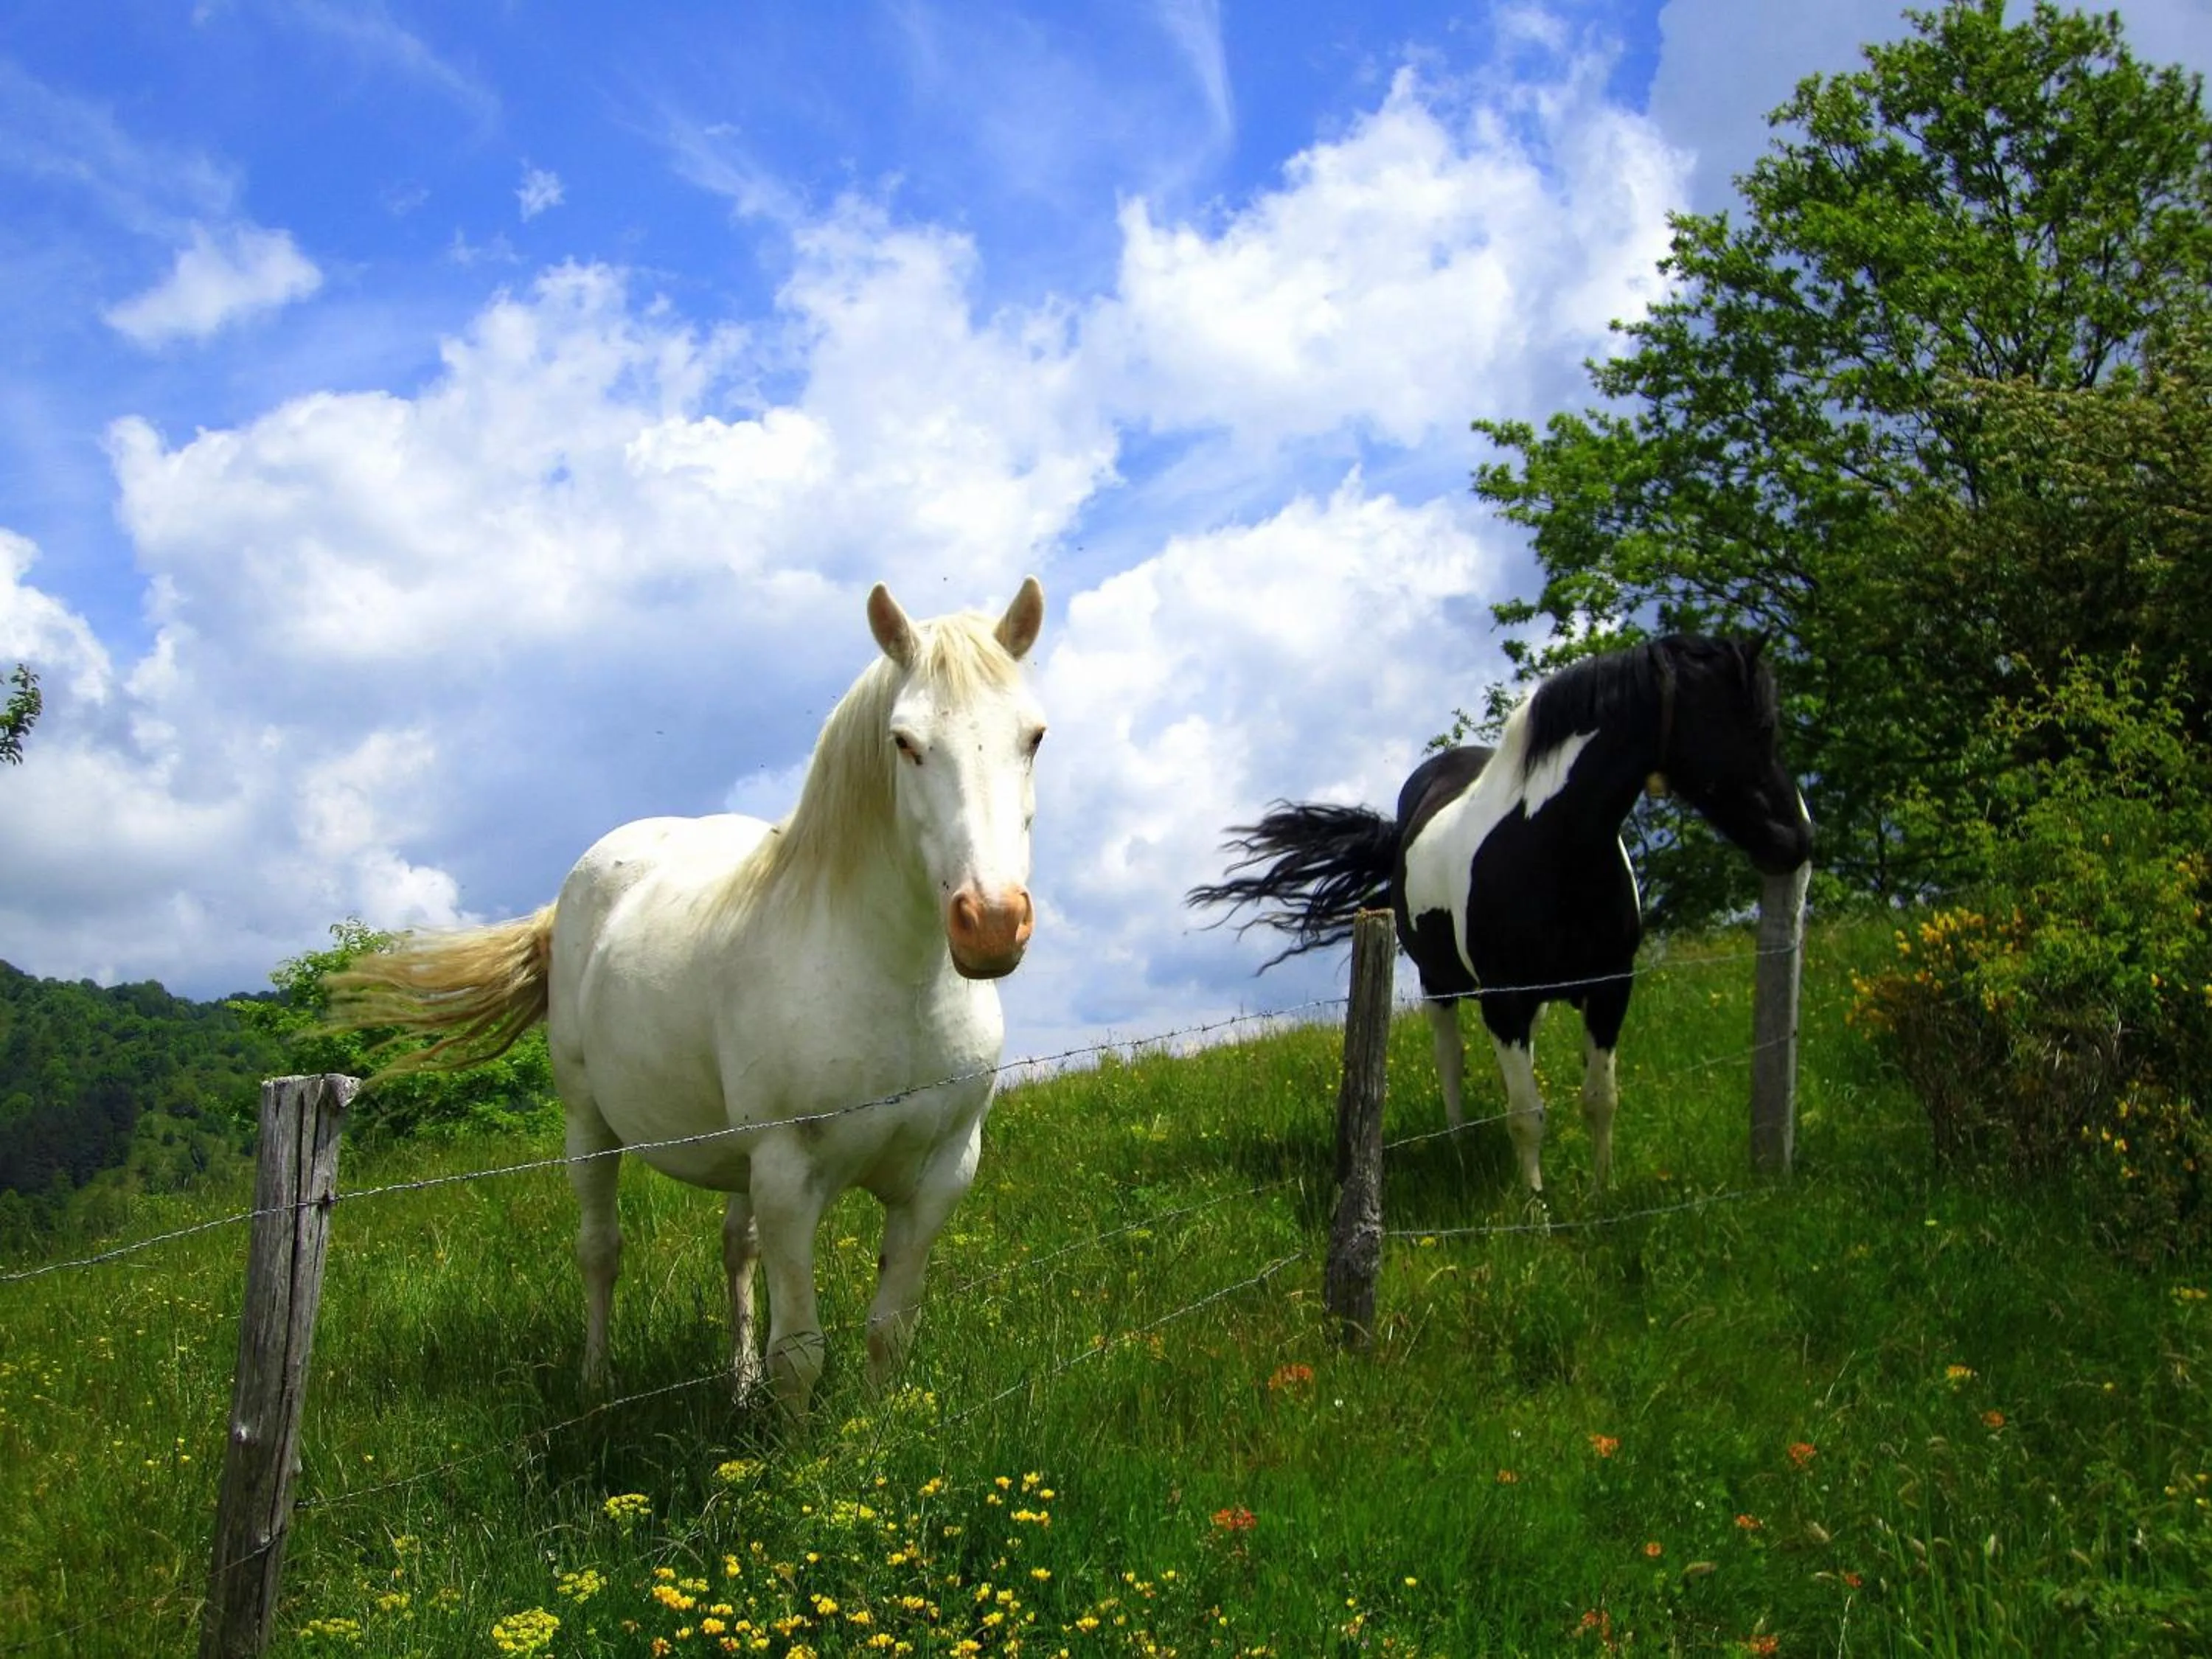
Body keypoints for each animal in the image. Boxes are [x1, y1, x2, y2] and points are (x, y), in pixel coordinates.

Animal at [326, 578, 1048, 1420]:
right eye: (905, 741)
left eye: (1033, 737)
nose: (991, 922)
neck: (894, 985)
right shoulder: (788, 1177)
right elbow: (800, 1353)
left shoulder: (940, 1176)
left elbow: (888, 1332)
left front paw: (870, 1434)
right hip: (590, 1126)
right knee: (600, 1252)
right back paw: (597, 1387)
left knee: (735, 1251)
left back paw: (737, 1384)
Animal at [1188, 635, 1809, 1196]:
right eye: (1758, 726)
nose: (1797, 838)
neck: (1552, 845)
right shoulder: (1505, 999)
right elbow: (1526, 1115)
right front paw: (1536, 1213)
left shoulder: (1610, 988)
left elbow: (1600, 1098)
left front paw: (1601, 1195)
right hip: (1440, 985)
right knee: (1451, 1062)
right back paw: (1461, 1147)